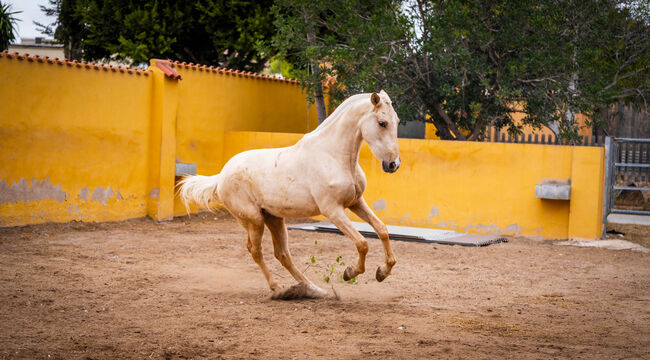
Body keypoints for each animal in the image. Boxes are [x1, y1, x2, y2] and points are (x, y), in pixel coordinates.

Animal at [178, 91, 400, 300]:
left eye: (397, 121)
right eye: (382, 123)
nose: (393, 164)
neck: (332, 156)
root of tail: (221, 176)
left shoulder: (356, 202)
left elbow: (382, 230)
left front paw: (382, 272)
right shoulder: (333, 211)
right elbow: (362, 243)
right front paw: (349, 272)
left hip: (274, 218)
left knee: (282, 254)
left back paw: (313, 289)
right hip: (254, 220)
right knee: (256, 251)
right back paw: (277, 288)